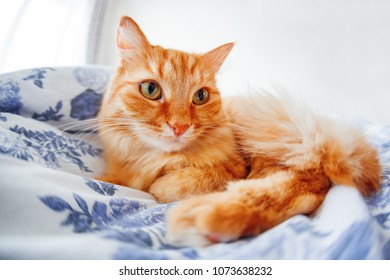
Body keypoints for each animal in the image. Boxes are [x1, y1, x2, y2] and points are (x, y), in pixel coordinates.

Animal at [97, 16, 380, 246]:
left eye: (200, 96)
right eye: (150, 90)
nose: (180, 126)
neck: (152, 159)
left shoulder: (231, 167)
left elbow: (176, 184)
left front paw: (158, 187)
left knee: (299, 183)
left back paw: (204, 216)